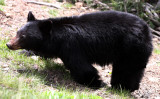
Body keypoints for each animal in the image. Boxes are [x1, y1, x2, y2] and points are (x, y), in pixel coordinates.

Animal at [6, 10, 153, 91]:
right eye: (17, 32)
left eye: (23, 36)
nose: (8, 44)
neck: (57, 37)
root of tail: (147, 30)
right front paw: (26, 52)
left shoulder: (71, 47)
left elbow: (81, 66)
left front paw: (94, 82)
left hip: (130, 48)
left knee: (127, 69)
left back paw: (123, 87)